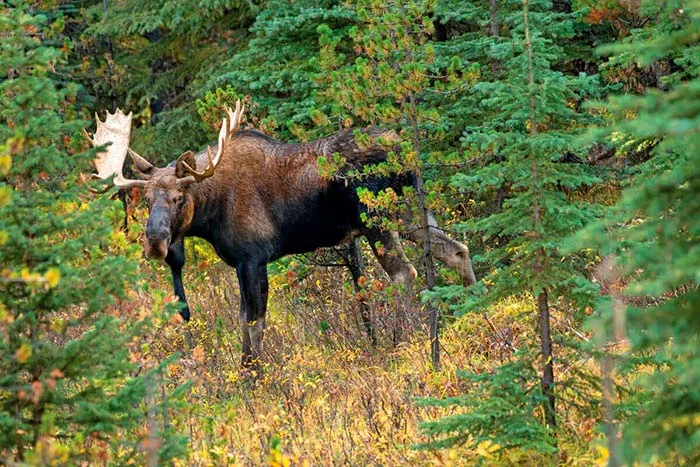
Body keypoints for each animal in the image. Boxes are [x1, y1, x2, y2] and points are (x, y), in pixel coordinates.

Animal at [84, 101, 477, 369]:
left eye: (179, 198)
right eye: (148, 199)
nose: (155, 241)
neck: (211, 213)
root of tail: (406, 147)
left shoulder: (254, 257)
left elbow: (254, 321)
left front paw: (257, 375)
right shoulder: (239, 263)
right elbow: (243, 319)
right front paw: (246, 372)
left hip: (377, 218)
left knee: (403, 272)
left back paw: (402, 340)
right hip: (410, 210)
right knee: (456, 249)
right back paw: (478, 305)